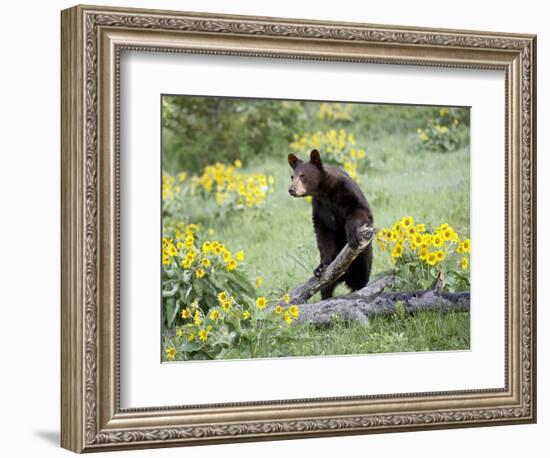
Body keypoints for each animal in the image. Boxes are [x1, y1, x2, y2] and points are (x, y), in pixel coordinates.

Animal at [288, 150, 376, 298]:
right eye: (292, 177)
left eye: (303, 176)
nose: (291, 189)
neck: (324, 191)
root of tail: (345, 278)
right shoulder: (319, 208)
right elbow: (323, 234)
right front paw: (321, 267)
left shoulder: (346, 191)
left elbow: (360, 210)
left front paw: (352, 236)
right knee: (326, 288)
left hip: (363, 258)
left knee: (361, 278)